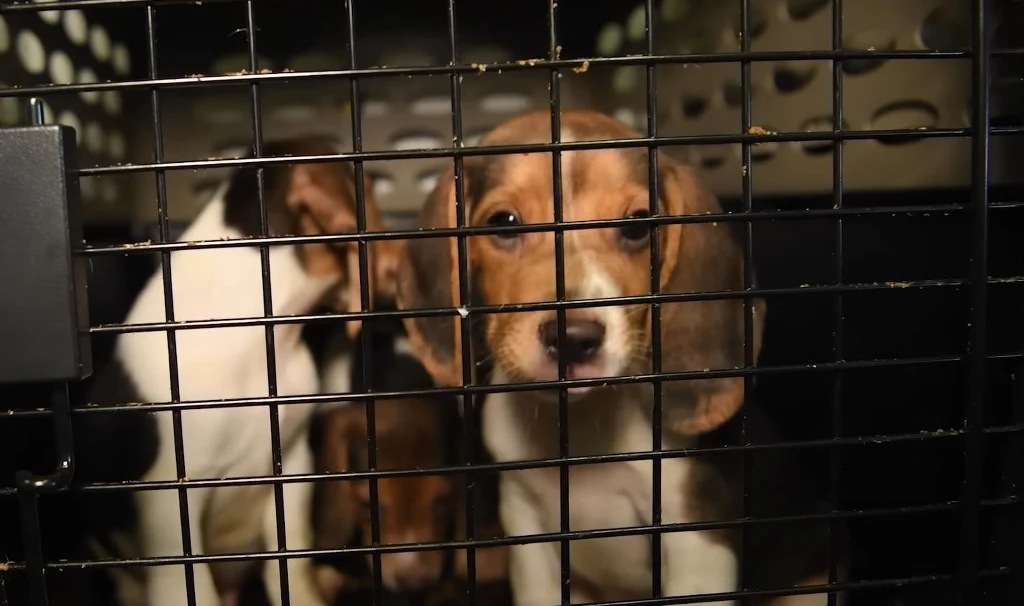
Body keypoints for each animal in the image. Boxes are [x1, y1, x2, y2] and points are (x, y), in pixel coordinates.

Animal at [396, 109, 840, 606]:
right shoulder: (529, 533)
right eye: (503, 223)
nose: (573, 338)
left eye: (637, 226)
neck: (585, 426)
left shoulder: (697, 541)